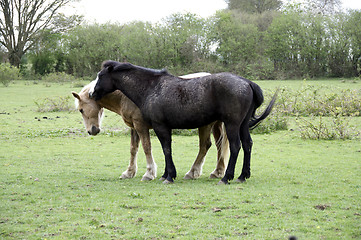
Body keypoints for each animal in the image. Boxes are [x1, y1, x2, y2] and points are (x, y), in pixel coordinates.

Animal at [72, 72, 228, 180]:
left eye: (81, 109)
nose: (92, 131)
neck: (126, 94)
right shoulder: (134, 127)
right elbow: (133, 149)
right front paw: (129, 172)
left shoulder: (141, 125)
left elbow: (146, 147)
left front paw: (149, 173)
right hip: (216, 126)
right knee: (219, 146)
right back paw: (217, 171)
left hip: (205, 125)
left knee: (204, 146)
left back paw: (193, 172)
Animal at [91, 61, 278, 185]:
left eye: (100, 76)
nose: (93, 93)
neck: (151, 88)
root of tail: (247, 82)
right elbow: (165, 149)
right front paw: (165, 174)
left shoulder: (160, 126)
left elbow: (166, 149)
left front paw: (169, 176)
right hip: (243, 125)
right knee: (247, 144)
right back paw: (242, 176)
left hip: (232, 124)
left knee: (235, 146)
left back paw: (226, 177)